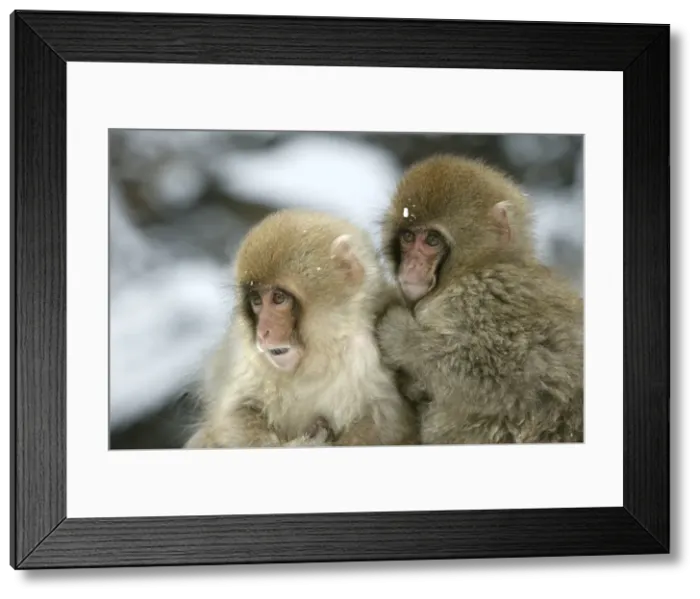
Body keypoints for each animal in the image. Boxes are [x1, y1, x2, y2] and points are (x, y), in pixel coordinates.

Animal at [184, 208, 418, 449]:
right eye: (257, 301)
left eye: (278, 298)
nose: (262, 333)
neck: (321, 356)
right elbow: (236, 413)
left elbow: (384, 420)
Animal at [375, 154, 584, 445]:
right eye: (407, 237)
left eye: (432, 240)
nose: (412, 266)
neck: (480, 263)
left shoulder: (478, 296)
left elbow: (495, 371)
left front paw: (400, 335)